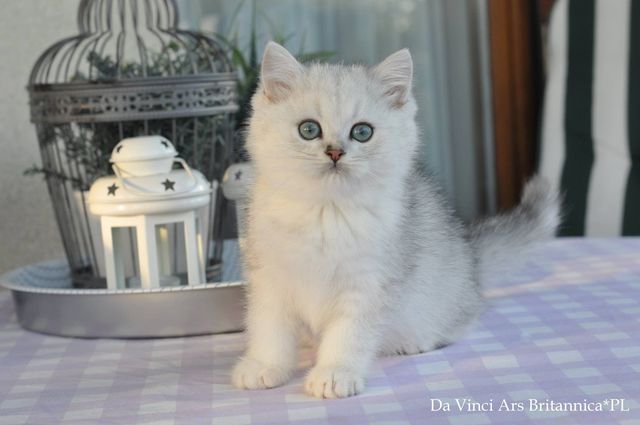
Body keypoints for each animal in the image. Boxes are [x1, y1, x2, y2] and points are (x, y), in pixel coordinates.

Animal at [231, 42, 560, 399]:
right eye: (309, 129)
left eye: (362, 132)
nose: (335, 152)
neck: (325, 212)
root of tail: (471, 256)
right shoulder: (269, 277)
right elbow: (270, 327)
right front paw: (265, 365)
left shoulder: (370, 283)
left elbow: (348, 334)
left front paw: (335, 373)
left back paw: (417, 341)